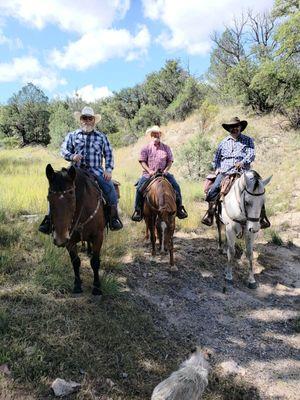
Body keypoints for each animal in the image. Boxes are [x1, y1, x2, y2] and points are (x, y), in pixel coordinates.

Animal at [45, 164, 105, 296]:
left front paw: (97, 287)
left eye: (72, 194)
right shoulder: (70, 240)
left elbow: (95, 262)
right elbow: (76, 262)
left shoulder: (98, 236)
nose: (60, 238)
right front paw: (77, 285)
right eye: (49, 195)